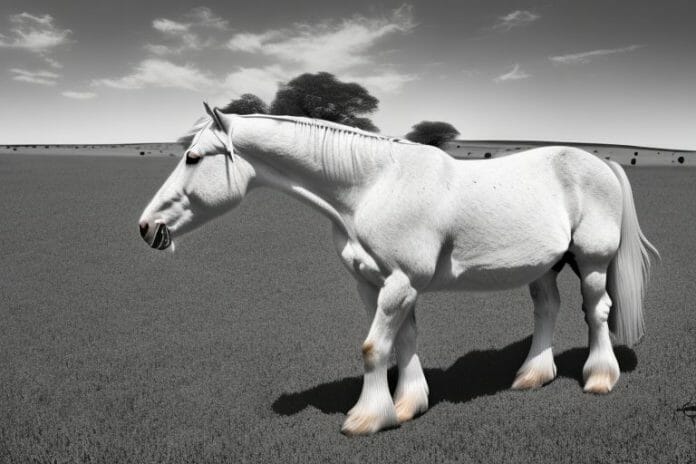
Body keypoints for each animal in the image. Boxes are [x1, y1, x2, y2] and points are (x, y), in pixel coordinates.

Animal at [139, 103, 658, 436]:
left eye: (193, 157)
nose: (147, 228)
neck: (373, 186)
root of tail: (601, 162)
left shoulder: (401, 283)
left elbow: (373, 349)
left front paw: (367, 419)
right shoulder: (375, 285)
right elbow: (401, 341)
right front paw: (408, 405)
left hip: (591, 261)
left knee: (596, 311)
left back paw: (599, 377)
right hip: (544, 265)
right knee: (547, 308)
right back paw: (532, 375)